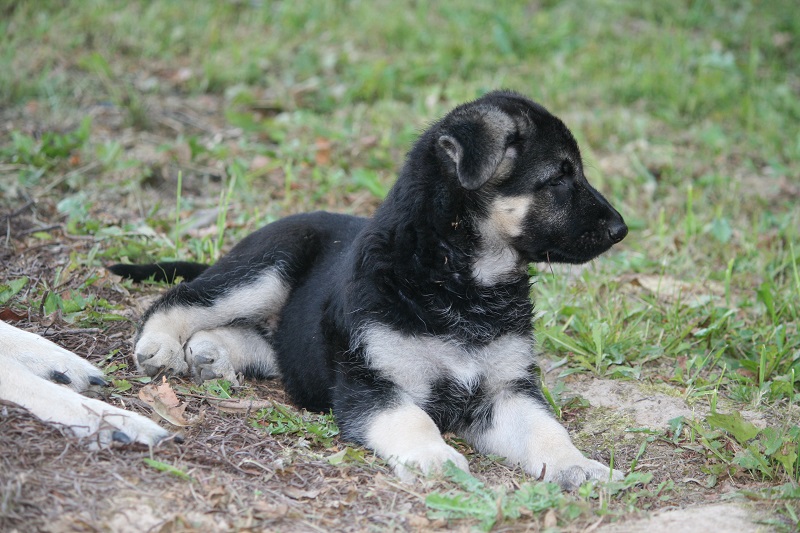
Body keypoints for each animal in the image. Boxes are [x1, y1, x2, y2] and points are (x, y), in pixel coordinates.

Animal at [111, 89, 624, 488]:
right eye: (559, 177)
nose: (621, 229)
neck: (459, 282)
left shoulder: (506, 390)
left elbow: (546, 430)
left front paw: (578, 465)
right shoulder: (371, 383)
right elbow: (411, 419)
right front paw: (436, 457)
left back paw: (212, 350)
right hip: (267, 268)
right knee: (182, 298)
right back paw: (161, 344)